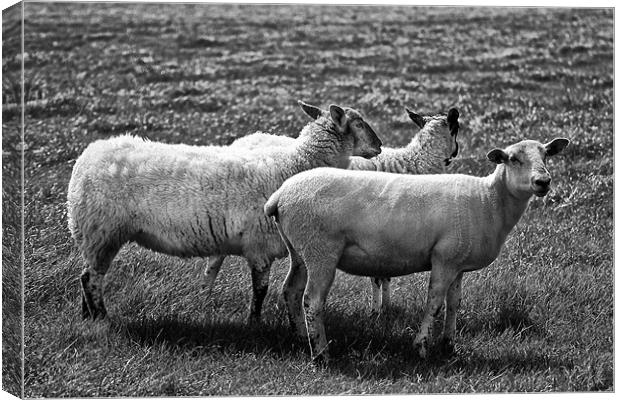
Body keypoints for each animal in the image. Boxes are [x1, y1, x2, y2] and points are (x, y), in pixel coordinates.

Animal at [65, 100, 380, 322]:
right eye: (358, 123)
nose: (379, 145)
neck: (295, 164)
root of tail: (87, 157)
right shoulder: (259, 244)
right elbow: (260, 290)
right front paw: (255, 323)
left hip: (95, 236)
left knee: (86, 277)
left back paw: (87, 318)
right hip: (102, 232)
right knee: (91, 279)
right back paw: (102, 319)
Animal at [202, 108, 460, 316]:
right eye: (457, 129)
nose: (456, 153)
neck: (413, 162)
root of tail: (248, 137)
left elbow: (383, 273)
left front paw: (384, 307)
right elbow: (378, 276)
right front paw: (377, 311)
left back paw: (206, 294)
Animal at [264, 138, 568, 362]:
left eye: (546, 155)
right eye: (513, 159)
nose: (544, 182)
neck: (488, 201)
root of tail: (280, 196)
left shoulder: (458, 262)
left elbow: (454, 303)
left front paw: (448, 346)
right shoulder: (444, 259)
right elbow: (434, 303)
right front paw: (421, 347)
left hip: (301, 250)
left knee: (291, 291)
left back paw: (301, 338)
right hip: (321, 250)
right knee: (312, 300)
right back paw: (321, 354)